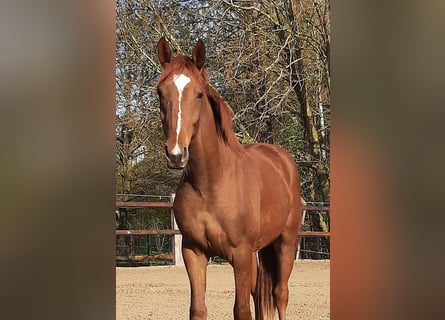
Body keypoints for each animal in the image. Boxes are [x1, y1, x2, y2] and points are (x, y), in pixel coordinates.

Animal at [156, 36, 302, 318]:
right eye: (160, 92)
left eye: (199, 94)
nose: (176, 154)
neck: (210, 184)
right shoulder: (193, 252)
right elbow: (198, 308)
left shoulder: (241, 254)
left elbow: (241, 310)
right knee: (261, 294)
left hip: (285, 242)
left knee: (280, 294)